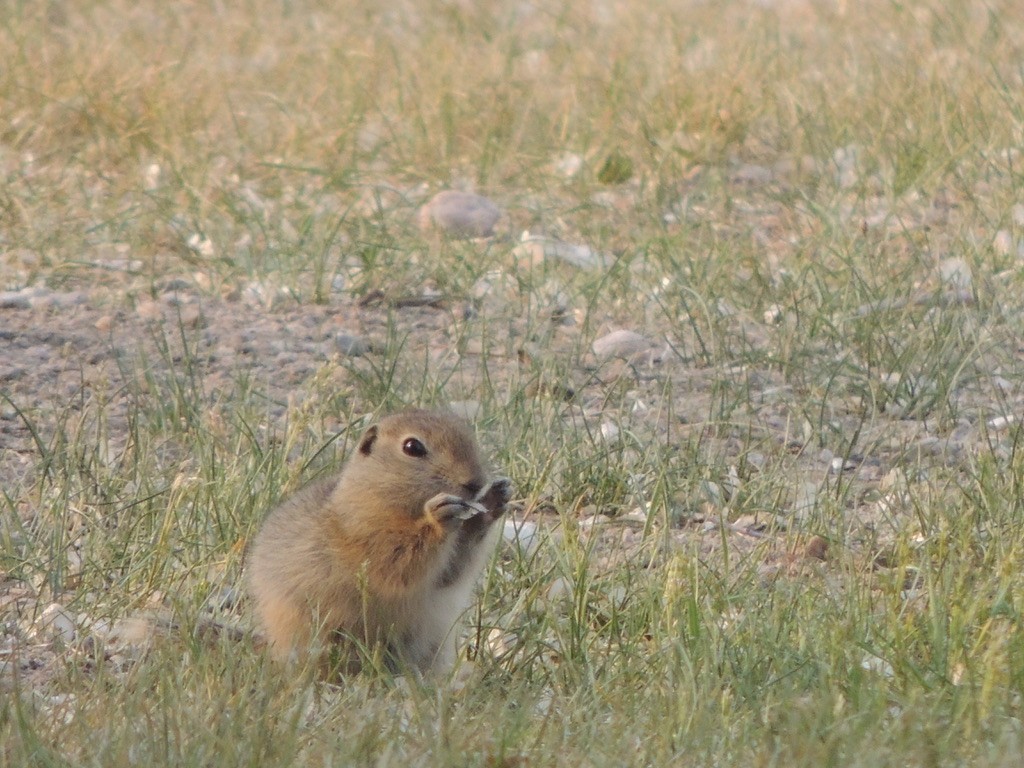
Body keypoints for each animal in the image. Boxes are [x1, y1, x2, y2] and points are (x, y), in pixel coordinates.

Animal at [246, 409, 511, 675]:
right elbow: (398, 565)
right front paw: (439, 516)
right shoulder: (368, 540)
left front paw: (494, 499)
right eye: (412, 447)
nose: (476, 482)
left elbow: (451, 572)